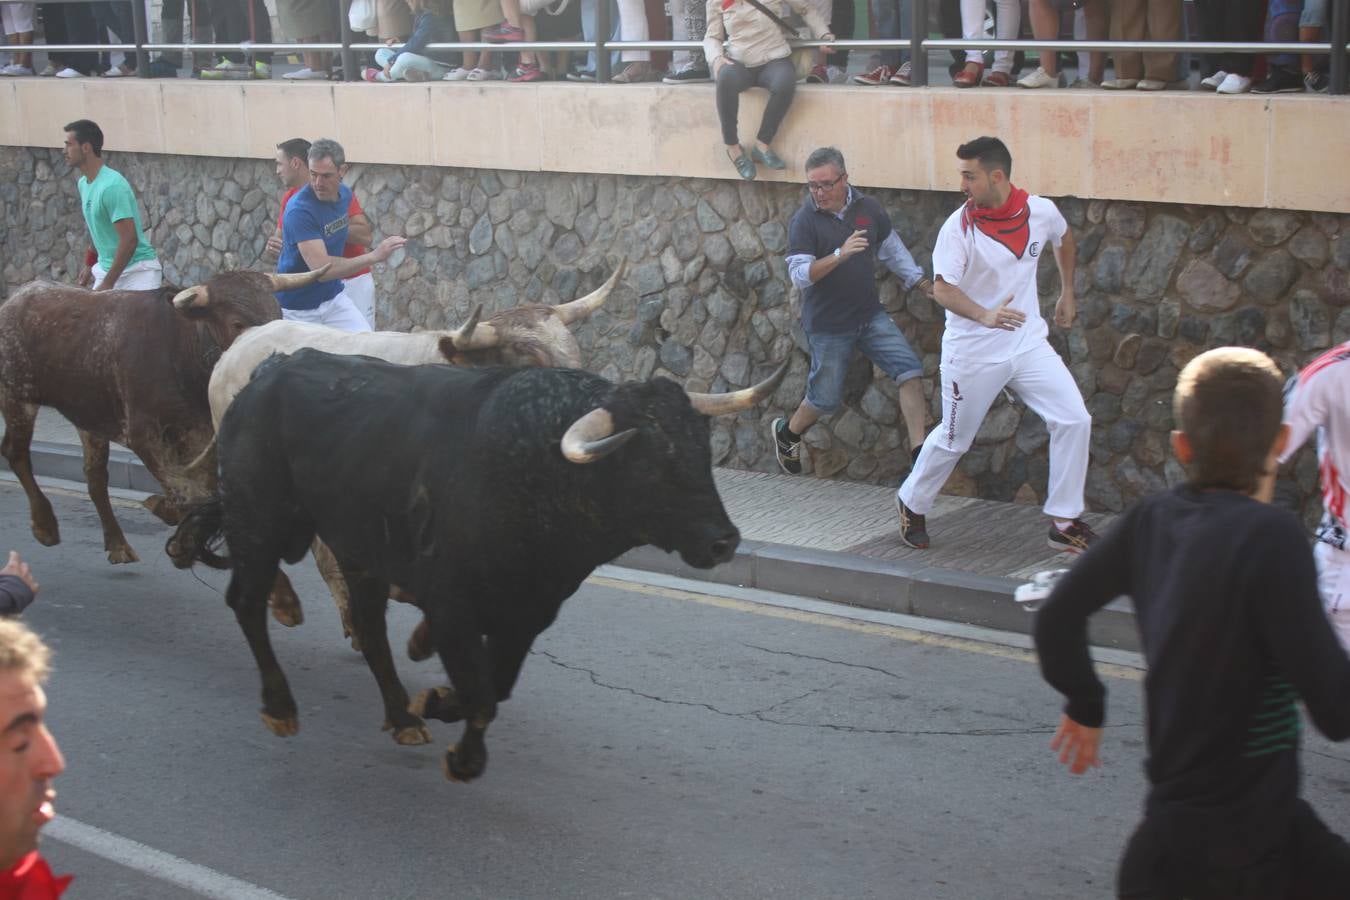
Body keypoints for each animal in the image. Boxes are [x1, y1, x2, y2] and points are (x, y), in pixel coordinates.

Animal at [0, 269, 321, 564]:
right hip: (17, 397)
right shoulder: (145, 437)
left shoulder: (199, 432)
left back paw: (117, 545)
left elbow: (200, 489)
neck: (182, 350)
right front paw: (178, 529)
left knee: (95, 475)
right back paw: (45, 526)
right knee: (15, 453)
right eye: (237, 323)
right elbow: (184, 491)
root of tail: (16, 298)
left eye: (277, 313)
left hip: (87, 413)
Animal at [180, 348, 788, 782]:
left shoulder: (528, 614)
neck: (537, 469)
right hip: (261, 522)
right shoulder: (453, 609)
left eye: (701, 450)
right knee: (247, 602)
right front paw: (459, 745)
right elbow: (479, 693)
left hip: (358, 548)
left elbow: (494, 689)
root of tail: (267, 371)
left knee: (369, 627)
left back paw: (402, 718)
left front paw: (437, 709)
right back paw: (281, 706)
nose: (723, 542)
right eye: (651, 464)